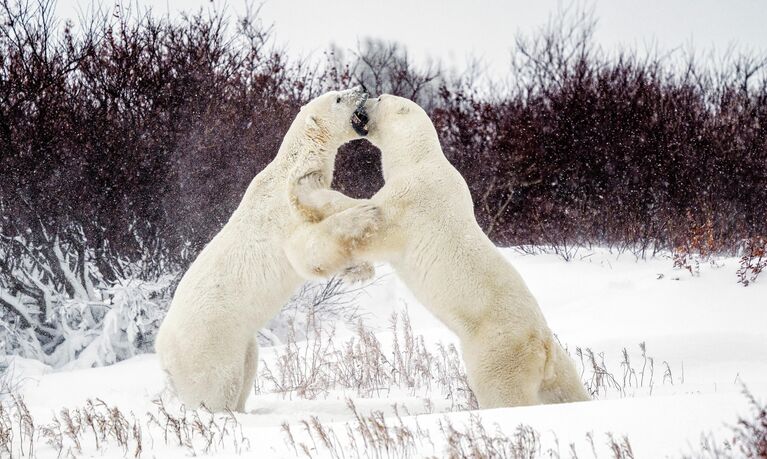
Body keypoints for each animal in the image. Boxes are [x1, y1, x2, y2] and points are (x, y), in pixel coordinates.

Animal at [157, 87, 380, 414]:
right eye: (338, 98)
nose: (360, 88)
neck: (293, 166)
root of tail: (163, 358)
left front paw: (360, 269)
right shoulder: (287, 212)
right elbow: (305, 248)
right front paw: (364, 218)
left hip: (239, 342)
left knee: (248, 366)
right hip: (209, 345)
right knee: (218, 387)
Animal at [284, 94, 592, 410]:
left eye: (380, 99)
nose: (366, 97)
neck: (419, 157)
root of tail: (542, 346)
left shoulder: (411, 199)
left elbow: (369, 215)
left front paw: (307, 184)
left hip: (499, 350)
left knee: (503, 391)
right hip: (557, 364)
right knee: (567, 388)